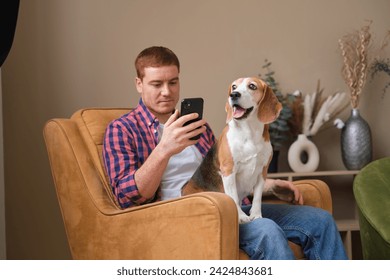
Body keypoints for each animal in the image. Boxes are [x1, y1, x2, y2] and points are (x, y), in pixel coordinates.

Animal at [181, 76, 282, 223]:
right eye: (234, 86)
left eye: (252, 86)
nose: (234, 95)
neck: (249, 133)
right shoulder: (228, 170)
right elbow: (233, 197)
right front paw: (241, 217)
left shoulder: (262, 171)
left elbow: (257, 198)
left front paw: (256, 215)